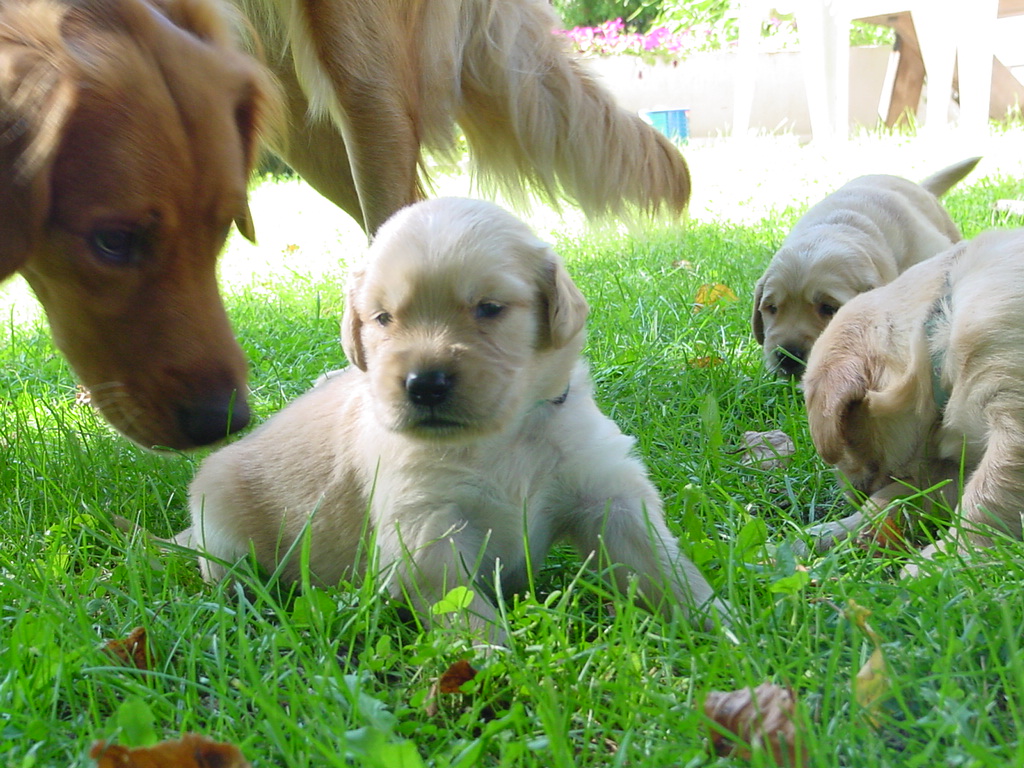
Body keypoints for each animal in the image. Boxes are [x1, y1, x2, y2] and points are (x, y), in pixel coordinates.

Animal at [182, 196, 729, 638]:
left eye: (488, 308)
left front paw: (726, 633)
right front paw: (498, 675)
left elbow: (666, 569)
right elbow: (471, 618)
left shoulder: (608, 494)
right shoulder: (426, 536)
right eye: (383, 319)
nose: (424, 384)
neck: (499, 440)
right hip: (218, 520)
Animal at [798, 228, 1024, 565]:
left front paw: (948, 560)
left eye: (846, 435)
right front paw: (822, 537)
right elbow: (892, 500)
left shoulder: (1013, 427)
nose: (851, 496)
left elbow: (988, 500)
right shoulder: (945, 470)